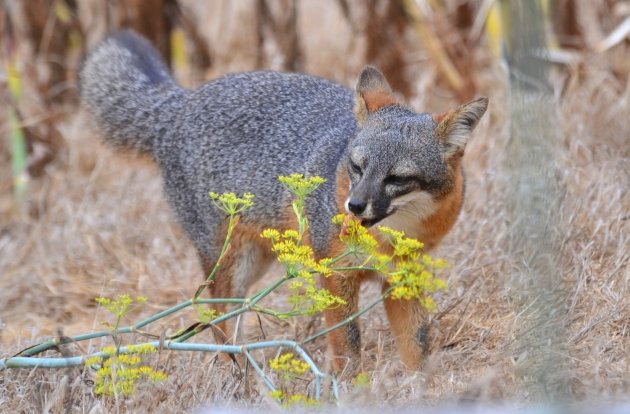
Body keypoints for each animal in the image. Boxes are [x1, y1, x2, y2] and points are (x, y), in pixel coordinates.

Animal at [79, 31, 492, 376]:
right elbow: (347, 344)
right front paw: (351, 386)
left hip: (257, 259)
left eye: (397, 179)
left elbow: (417, 343)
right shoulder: (335, 276)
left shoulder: (404, 279)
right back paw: (236, 373)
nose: (354, 206)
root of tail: (181, 103)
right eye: (357, 167)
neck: (391, 238)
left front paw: (420, 386)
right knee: (218, 318)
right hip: (232, 265)